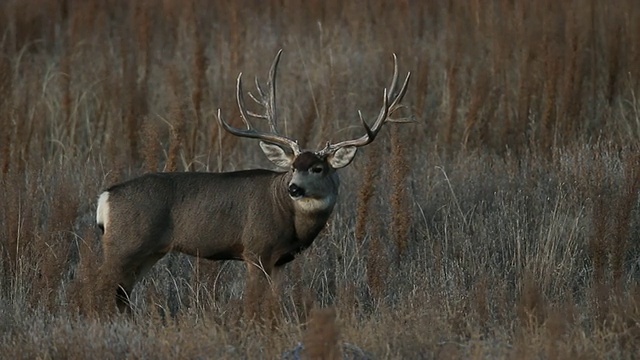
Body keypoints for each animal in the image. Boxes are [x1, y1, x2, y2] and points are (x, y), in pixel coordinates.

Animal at [96, 50, 410, 312]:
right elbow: (254, 302)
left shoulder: (280, 260)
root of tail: (106, 198)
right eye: (293, 166)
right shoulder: (256, 249)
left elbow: (274, 301)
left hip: (148, 253)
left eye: (318, 168)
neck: (291, 219)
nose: (294, 188)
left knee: (121, 296)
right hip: (123, 245)